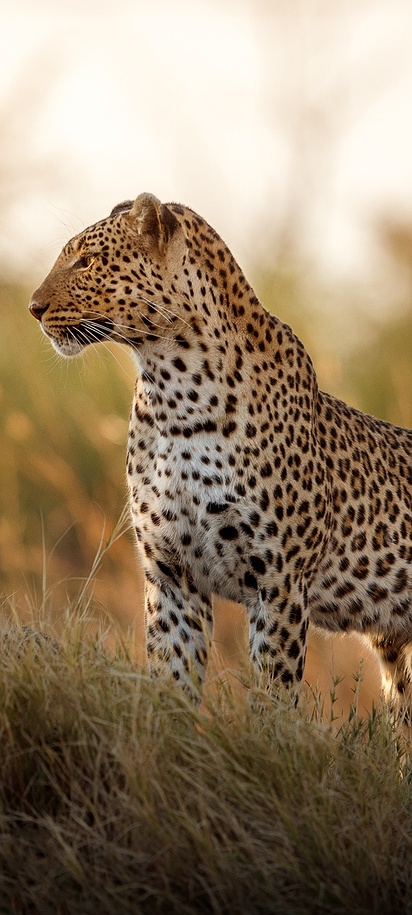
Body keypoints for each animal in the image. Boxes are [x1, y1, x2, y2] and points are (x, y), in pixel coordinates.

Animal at [29, 192, 412, 726]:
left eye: (85, 261)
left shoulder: (279, 582)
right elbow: (172, 679)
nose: (32, 307)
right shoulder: (171, 575)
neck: (174, 393)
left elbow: (274, 691)